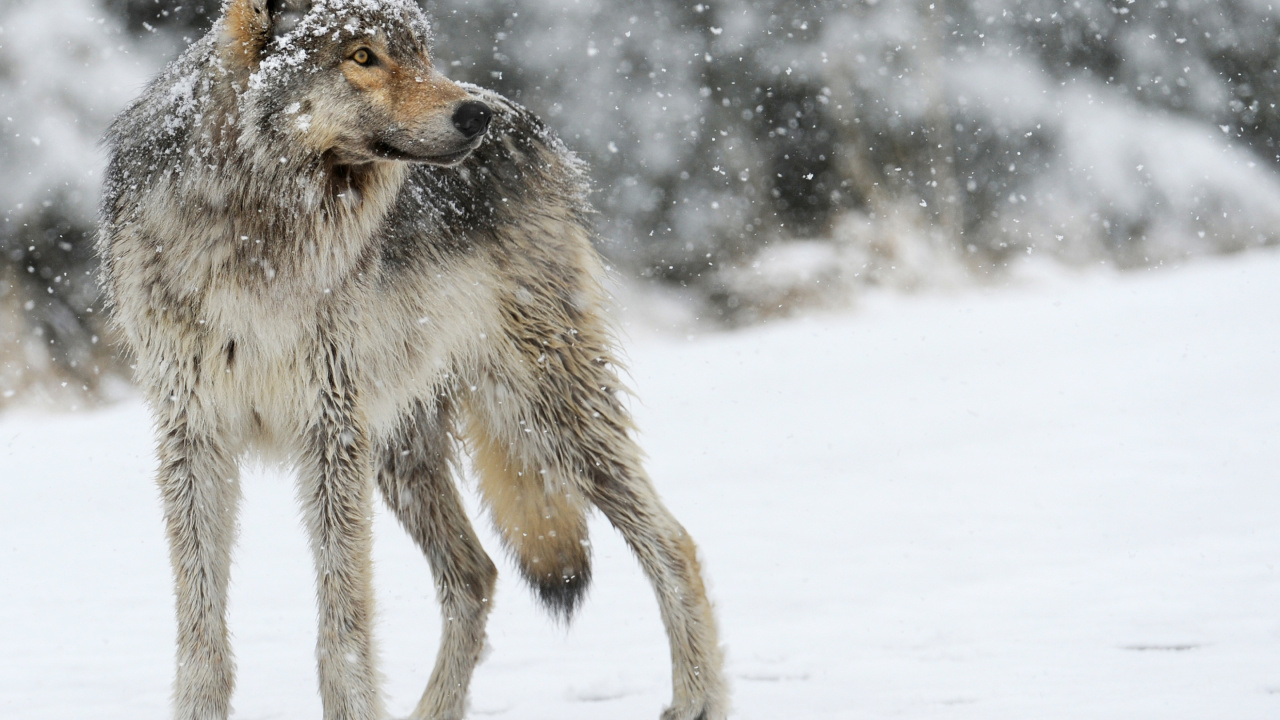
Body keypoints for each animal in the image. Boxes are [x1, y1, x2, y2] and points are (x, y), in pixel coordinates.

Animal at [96, 1, 726, 719]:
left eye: (421, 53)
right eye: (362, 56)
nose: (473, 117)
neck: (259, 231)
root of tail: (525, 120)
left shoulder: (330, 430)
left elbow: (342, 630)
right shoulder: (194, 435)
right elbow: (201, 632)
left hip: (543, 410)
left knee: (673, 542)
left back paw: (699, 698)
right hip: (402, 453)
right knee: (475, 574)